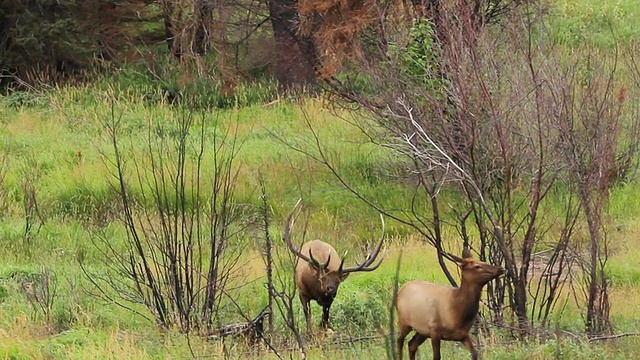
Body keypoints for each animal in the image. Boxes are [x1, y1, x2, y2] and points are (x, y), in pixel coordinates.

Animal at [284, 198, 384, 334]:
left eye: (338, 281)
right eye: (322, 278)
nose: (330, 288)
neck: (317, 291)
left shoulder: (331, 299)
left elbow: (325, 318)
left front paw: (326, 329)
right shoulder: (302, 292)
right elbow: (308, 317)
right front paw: (310, 333)